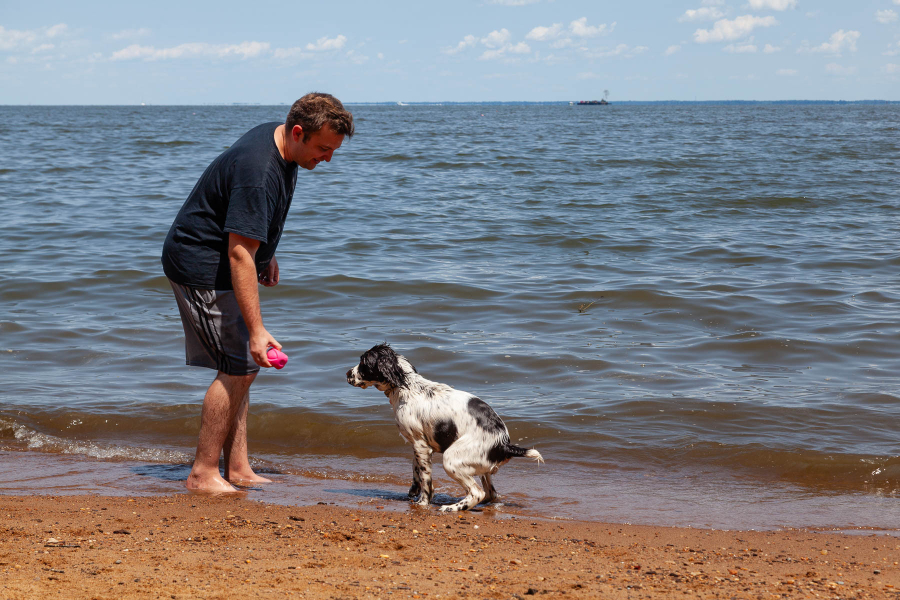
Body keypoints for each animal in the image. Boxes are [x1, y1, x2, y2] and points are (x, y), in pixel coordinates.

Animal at [344, 342, 540, 510]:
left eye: (363, 362)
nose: (347, 373)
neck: (407, 387)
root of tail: (504, 444)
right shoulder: (418, 445)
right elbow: (416, 470)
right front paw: (414, 491)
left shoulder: (421, 445)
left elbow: (425, 479)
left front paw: (423, 502)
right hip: (481, 468)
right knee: (491, 494)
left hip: (451, 458)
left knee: (477, 493)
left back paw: (451, 508)